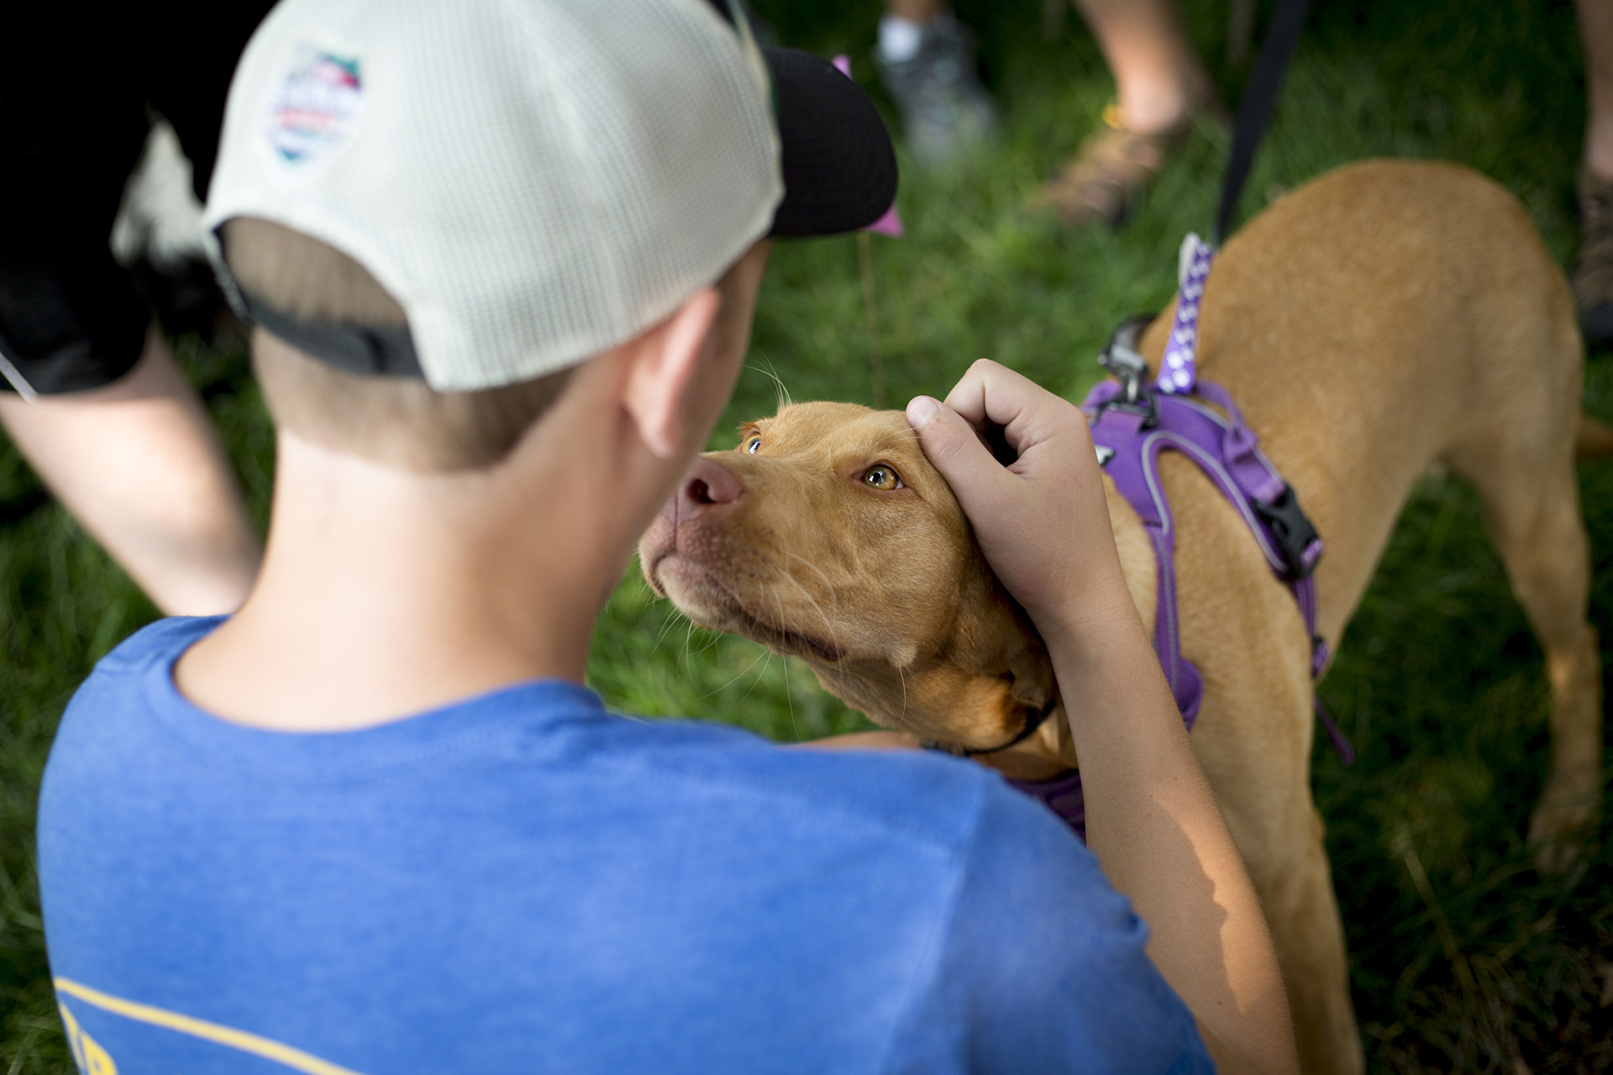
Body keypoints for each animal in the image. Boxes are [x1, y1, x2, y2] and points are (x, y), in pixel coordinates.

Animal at [635, 161, 1606, 1071]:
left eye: (881, 478)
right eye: (755, 437)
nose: (684, 480)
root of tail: (1462, 179)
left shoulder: (1287, 878)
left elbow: (1319, 1039)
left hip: (1530, 512)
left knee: (1576, 650)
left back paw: (1567, 810)